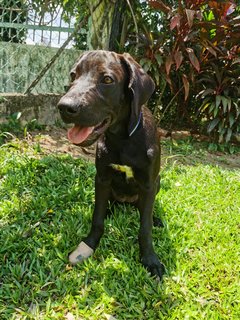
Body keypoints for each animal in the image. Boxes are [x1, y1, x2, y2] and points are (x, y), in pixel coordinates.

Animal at [57, 50, 164, 280]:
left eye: (107, 80)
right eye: (73, 75)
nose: (64, 107)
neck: (122, 139)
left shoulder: (148, 184)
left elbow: (145, 227)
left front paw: (150, 259)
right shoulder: (102, 178)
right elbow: (97, 218)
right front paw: (89, 245)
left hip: (157, 182)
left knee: (145, 210)